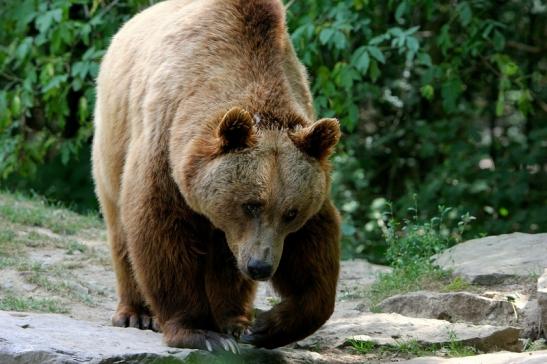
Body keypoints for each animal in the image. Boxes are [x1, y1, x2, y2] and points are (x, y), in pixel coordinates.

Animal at [93, 0, 340, 352]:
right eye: (250, 204)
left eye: (291, 212)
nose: (260, 266)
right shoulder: (166, 139)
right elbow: (160, 227)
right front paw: (199, 331)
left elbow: (313, 249)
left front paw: (265, 326)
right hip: (115, 133)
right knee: (120, 226)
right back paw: (136, 313)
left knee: (226, 261)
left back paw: (234, 319)